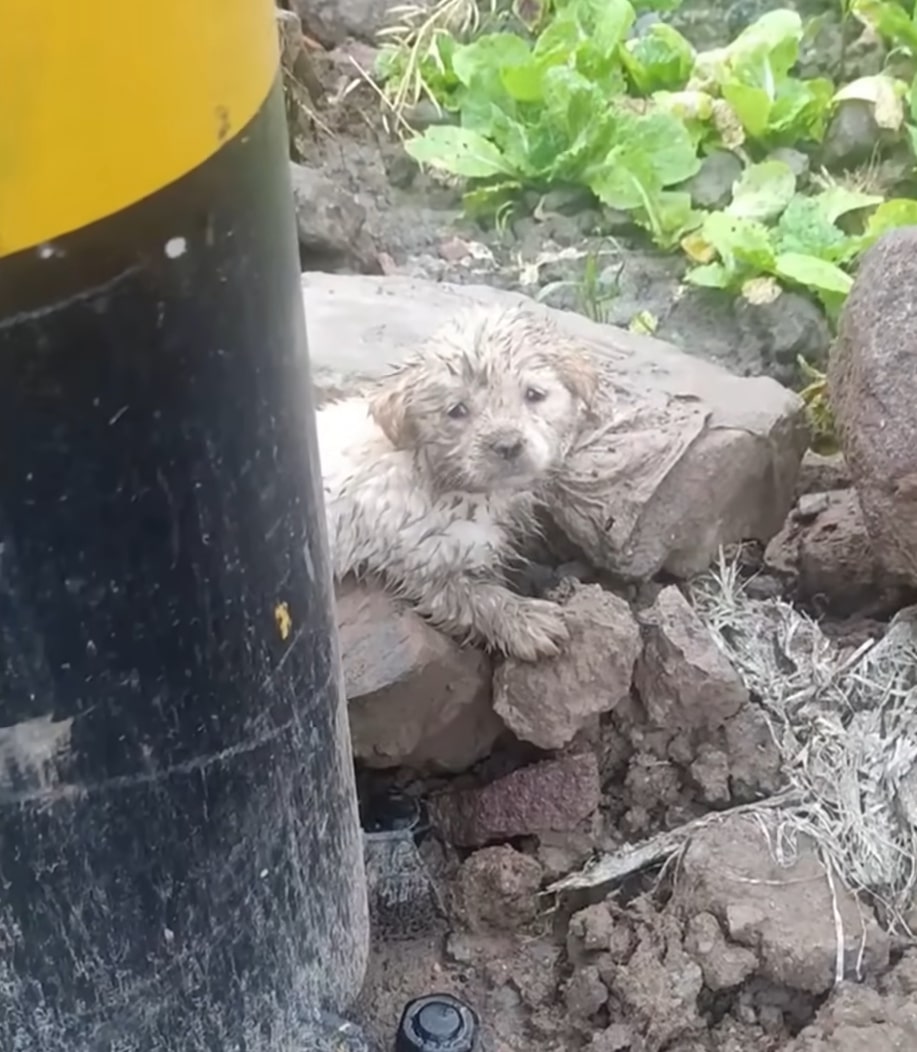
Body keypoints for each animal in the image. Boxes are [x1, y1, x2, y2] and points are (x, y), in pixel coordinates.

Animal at [317, 302, 601, 656]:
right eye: (456, 410)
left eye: (534, 394)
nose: (508, 445)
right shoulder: (427, 560)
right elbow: (479, 599)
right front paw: (527, 621)